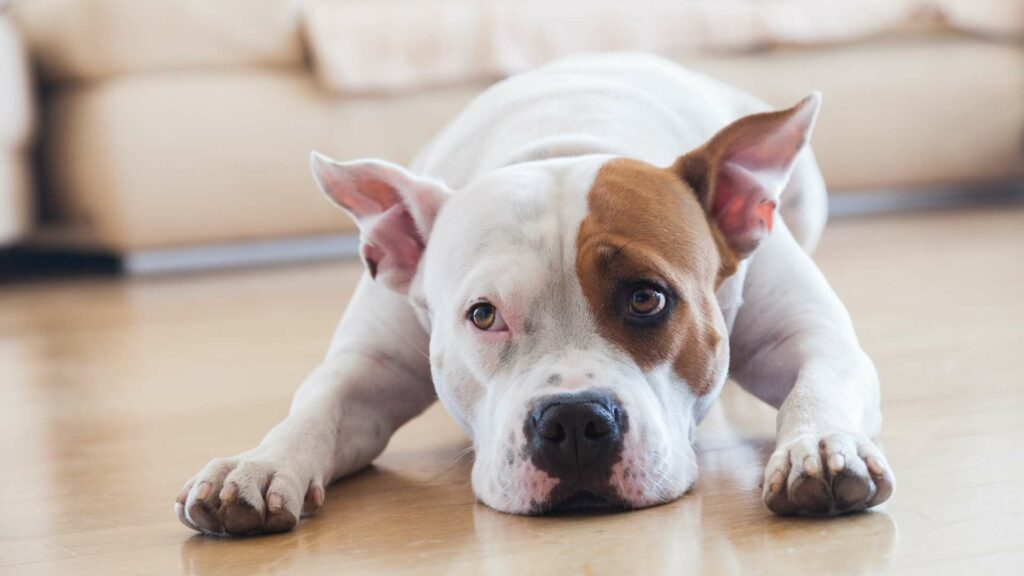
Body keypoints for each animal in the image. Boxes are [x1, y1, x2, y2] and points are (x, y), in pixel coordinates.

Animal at [178, 53, 897, 532]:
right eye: (482, 315)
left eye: (648, 298)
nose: (575, 422)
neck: (562, 139)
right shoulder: (370, 367)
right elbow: (317, 408)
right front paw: (260, 464)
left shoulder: (810, 339)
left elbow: (818, 381)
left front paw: (819, 447)